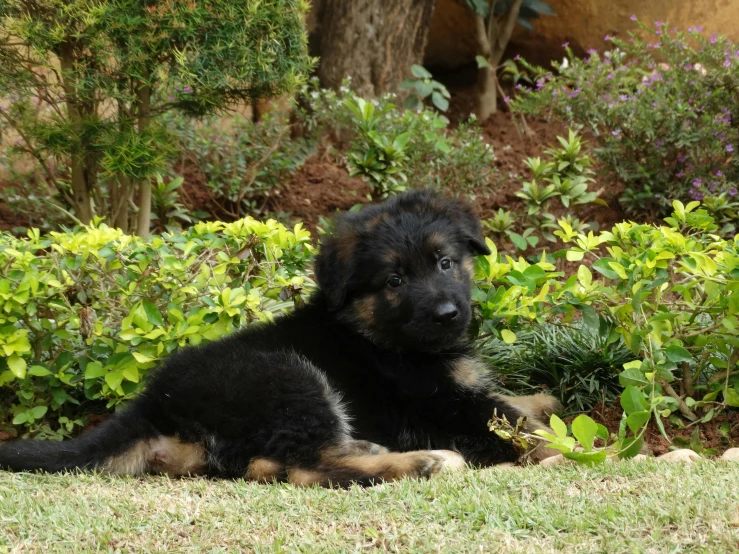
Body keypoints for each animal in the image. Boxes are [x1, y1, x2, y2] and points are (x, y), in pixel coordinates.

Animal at [0, 190, 556, 484]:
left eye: (445, 263)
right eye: (394, 281)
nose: (447, 314)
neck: (375, 335)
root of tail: (155, 403)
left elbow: (520, 402)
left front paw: (545, 399)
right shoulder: (442, 406)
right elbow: (517, 426)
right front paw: (562, 447)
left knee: (274, 463)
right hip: (289, 376)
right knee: (309, 466)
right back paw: (425, 461)